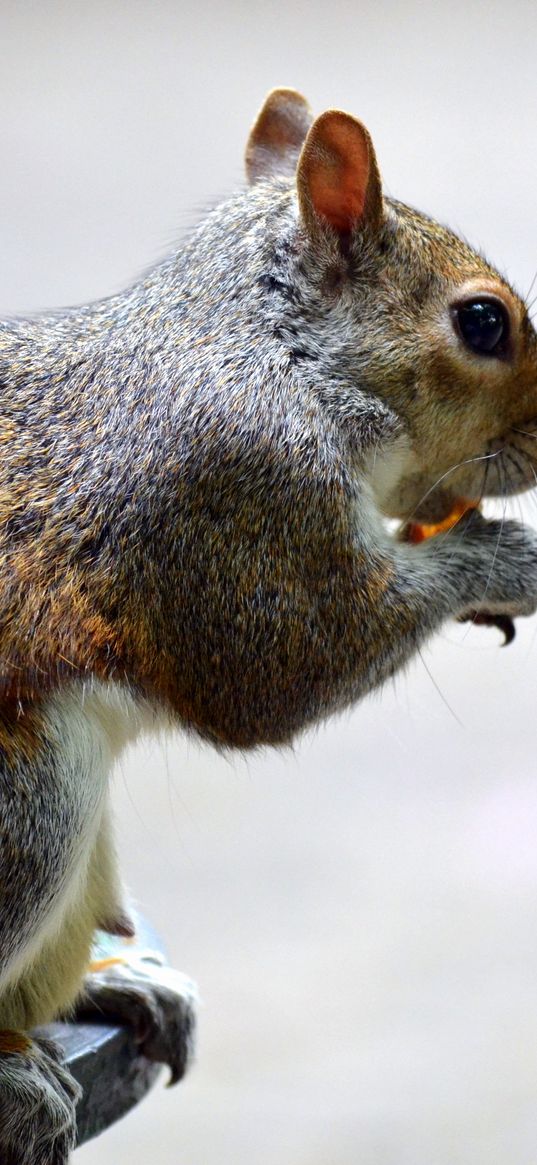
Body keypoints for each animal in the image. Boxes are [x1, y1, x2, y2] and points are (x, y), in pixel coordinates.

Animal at [0, 86, 535, 1160]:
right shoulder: (237, 496)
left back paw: (114, 984)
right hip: (27, 805)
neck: (275, 352)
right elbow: (282, 672)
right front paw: (503, 561)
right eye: (482, 321)